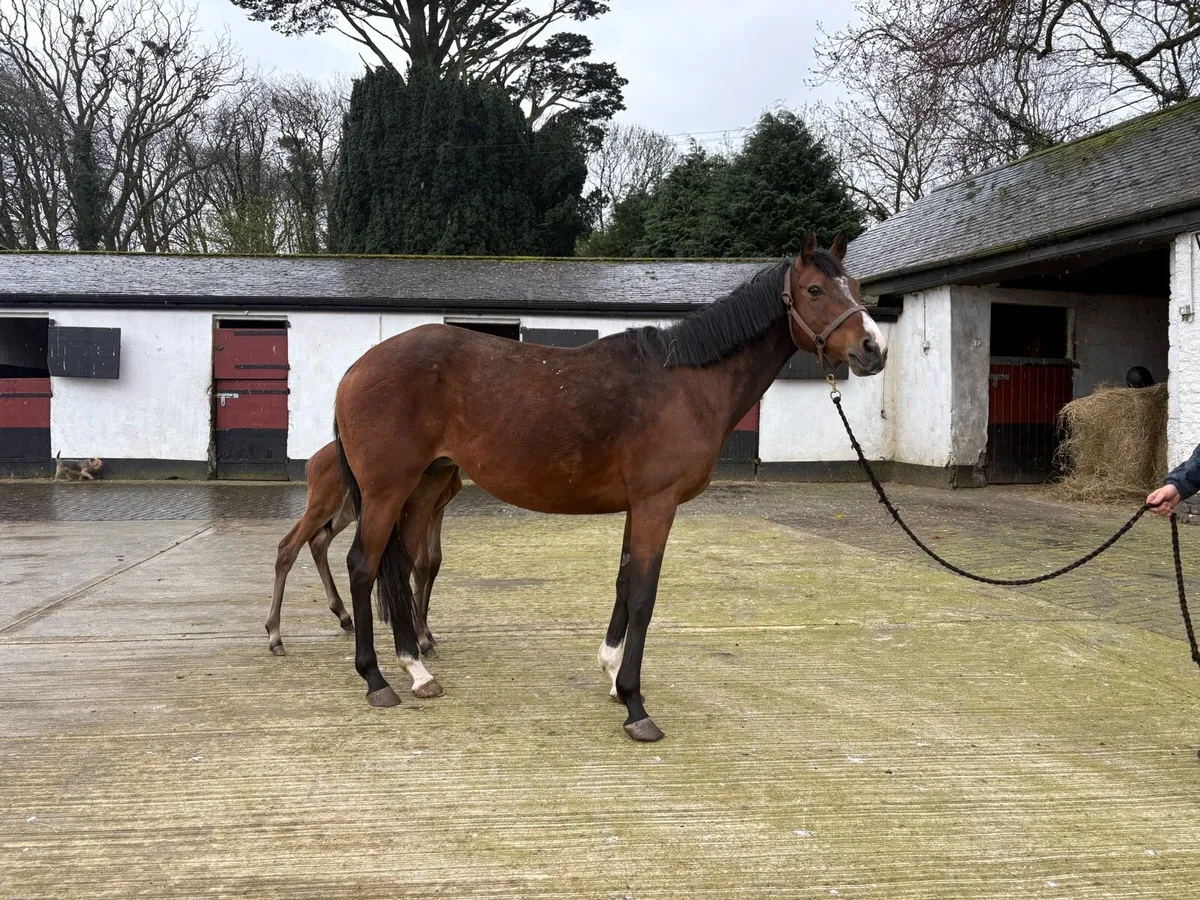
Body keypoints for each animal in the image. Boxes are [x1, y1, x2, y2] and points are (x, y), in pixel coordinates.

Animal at [265, 440, 461, 660]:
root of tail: (313, 460)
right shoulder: (420, 510)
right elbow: (421, 564)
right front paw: (422, 637)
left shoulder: (437, 510)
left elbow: (434, 561)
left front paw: (427, 632)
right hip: (323, 505)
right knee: (288, 546)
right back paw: (275, 635)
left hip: (346, 511)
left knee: (318, 542)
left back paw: (343, 615)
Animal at [333, 231, 888, 741]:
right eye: (815, 289)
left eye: (858, 287)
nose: (874, 349)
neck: (688, 382)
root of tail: (357, 368)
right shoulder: (657, 504)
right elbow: (643, 594)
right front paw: (636, 705)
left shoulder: (637, 507)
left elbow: (624, 584)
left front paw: (612, 673)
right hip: (387, 491)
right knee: (362, 567)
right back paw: (376, 679)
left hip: (421, 490)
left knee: (400, 565)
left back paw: (417, 670)